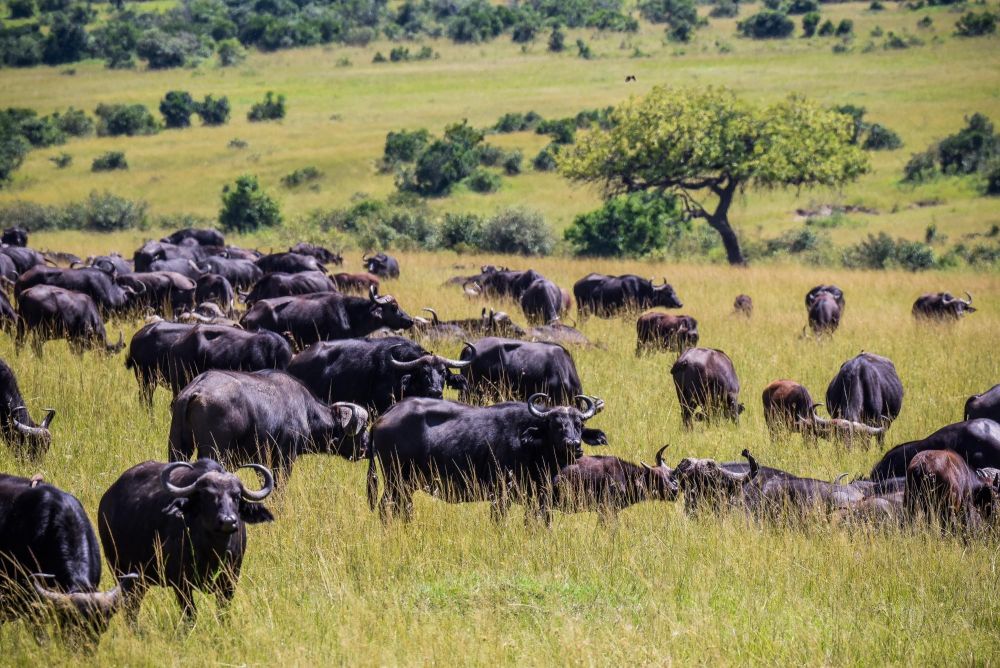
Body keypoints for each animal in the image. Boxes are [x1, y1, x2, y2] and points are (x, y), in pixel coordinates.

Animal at [168, 368, 372, 478]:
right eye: (362, 429)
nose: (367, 446)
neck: (307, 411)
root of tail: (196, 389)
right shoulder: (284, 458)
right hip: (214, 452)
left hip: (178, 448)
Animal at [368, 394, 600, 524]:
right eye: (555, 424)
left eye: (579, 424)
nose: (573, 445)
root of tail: (385, 416)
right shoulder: (500, 495)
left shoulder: (538, 497)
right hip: (396, 481)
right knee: (386, 507)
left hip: (405, 484)